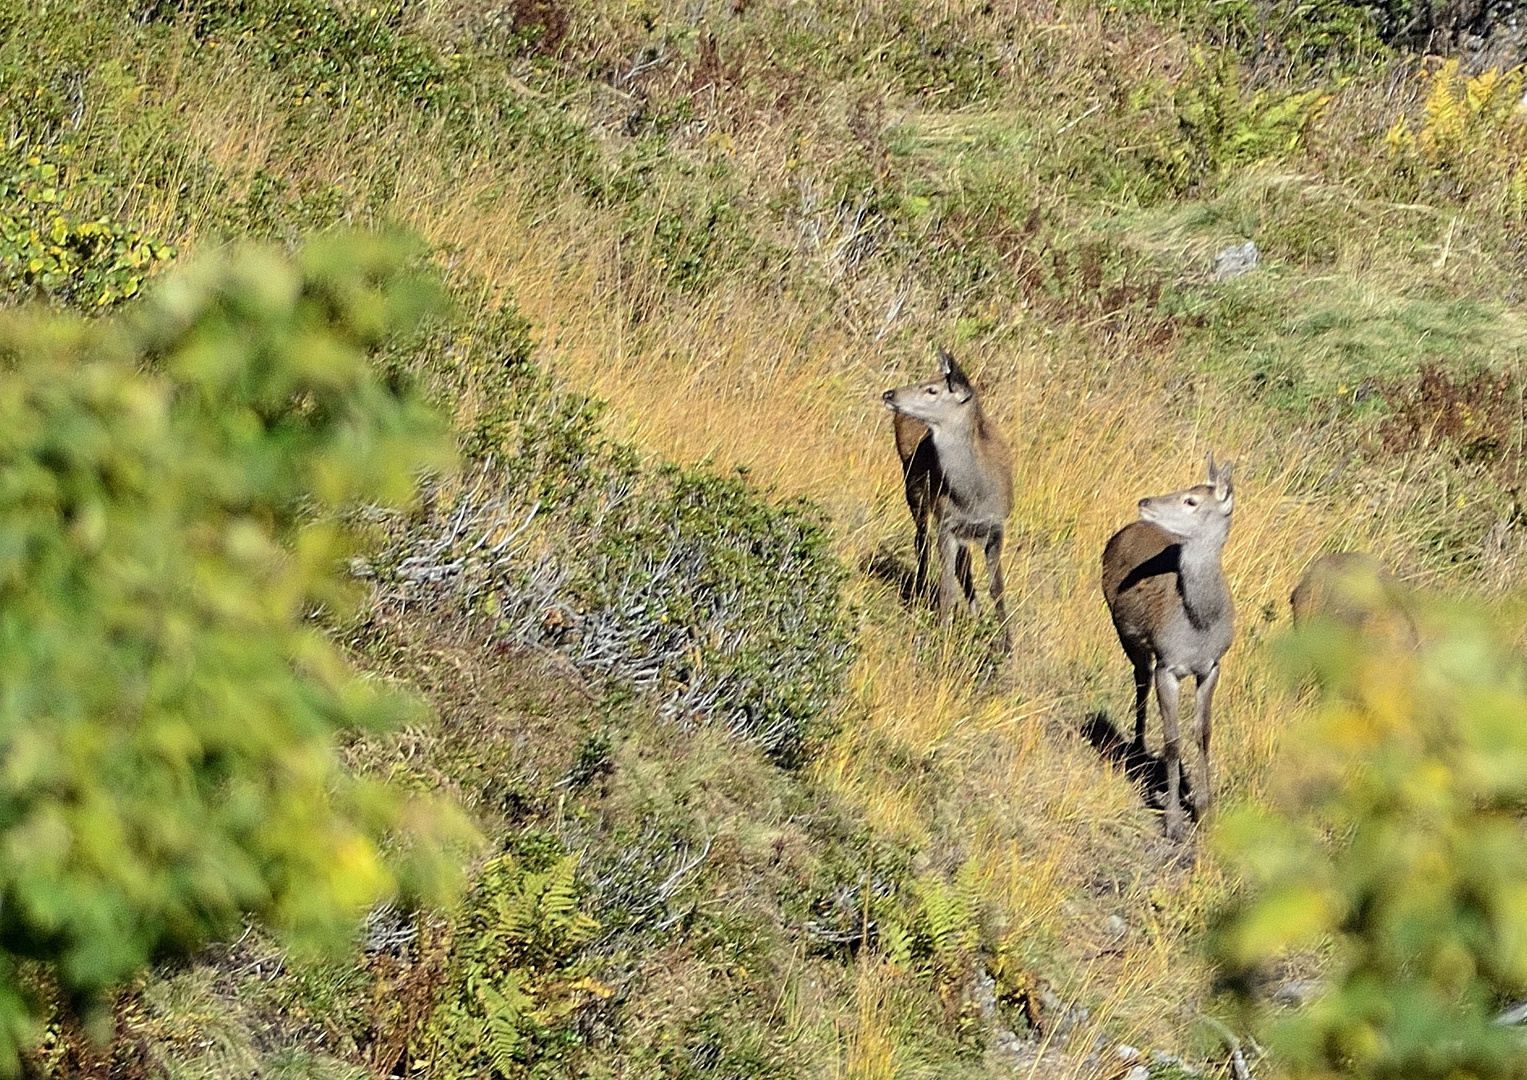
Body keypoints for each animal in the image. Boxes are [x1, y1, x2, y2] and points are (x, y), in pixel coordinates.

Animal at [885, 351, 1013, 647]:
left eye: (933, 390)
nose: (889, 394)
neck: (973, 495)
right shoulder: (946, 524)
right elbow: (947, 587)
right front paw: (943, 633)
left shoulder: (996, 527)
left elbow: (997, 588)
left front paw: (1007, 644)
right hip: (914, 491)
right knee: (922, 542)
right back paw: (919, 591)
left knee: (963, 566)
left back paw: (975, 612)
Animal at [1105, 455, 1233, 843]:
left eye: (1191, 500)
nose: (1145, 500)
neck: (1199, 626)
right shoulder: (1168, 664)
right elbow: (1173, 740)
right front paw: (1174, 821)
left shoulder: (1213, 665)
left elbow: (1203, 734)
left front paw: (1206, 811)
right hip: (1127, 633)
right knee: (1140, 678)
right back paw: (1137, 747)